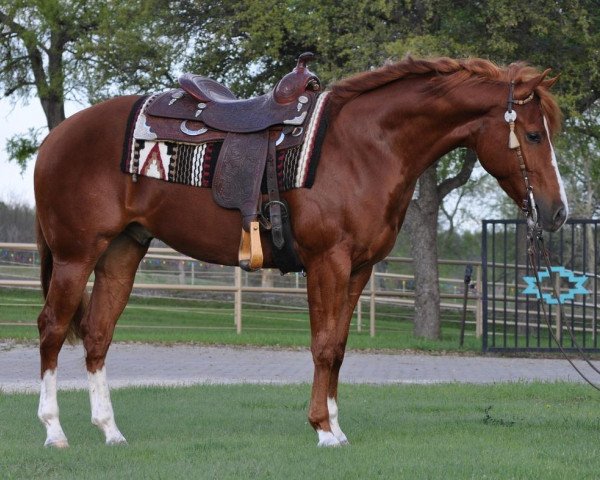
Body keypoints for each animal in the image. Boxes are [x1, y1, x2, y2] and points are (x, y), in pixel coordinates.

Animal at [34, 57, 568, 450]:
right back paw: (55, 431)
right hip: (75, 256)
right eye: (534, 135)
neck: (364, 147)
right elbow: (324, 345)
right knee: (53, 330)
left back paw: (110, 431)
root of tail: (56, 137)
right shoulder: (327, 262)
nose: (558, 212)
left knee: (97, 333)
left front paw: (335, 424)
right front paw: (323, 430)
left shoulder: (359, 269)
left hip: (122, 252)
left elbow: (340, 346)